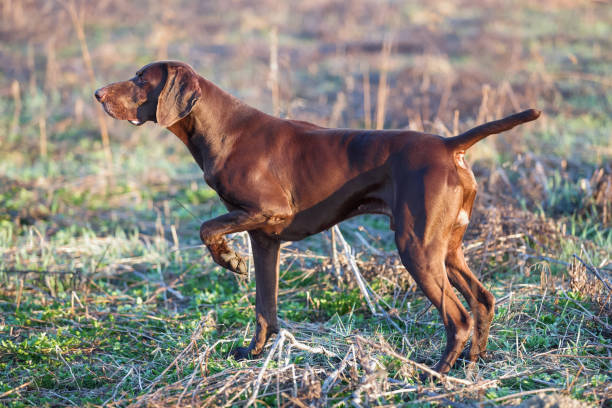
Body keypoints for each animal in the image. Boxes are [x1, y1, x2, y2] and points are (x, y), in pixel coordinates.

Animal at [97, 59, 540, 372]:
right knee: (482, 299)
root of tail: (450, 145)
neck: (222, 129)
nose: (98, 93)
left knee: (458, 316)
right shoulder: (264, 237)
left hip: (416, 247)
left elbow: (208, 229)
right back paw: (472, 363)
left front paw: (229, 259)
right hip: (446, 248)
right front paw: (255, 353)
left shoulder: (266, 212)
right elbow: (265, 306)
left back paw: (436, 372)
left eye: (141, 78)